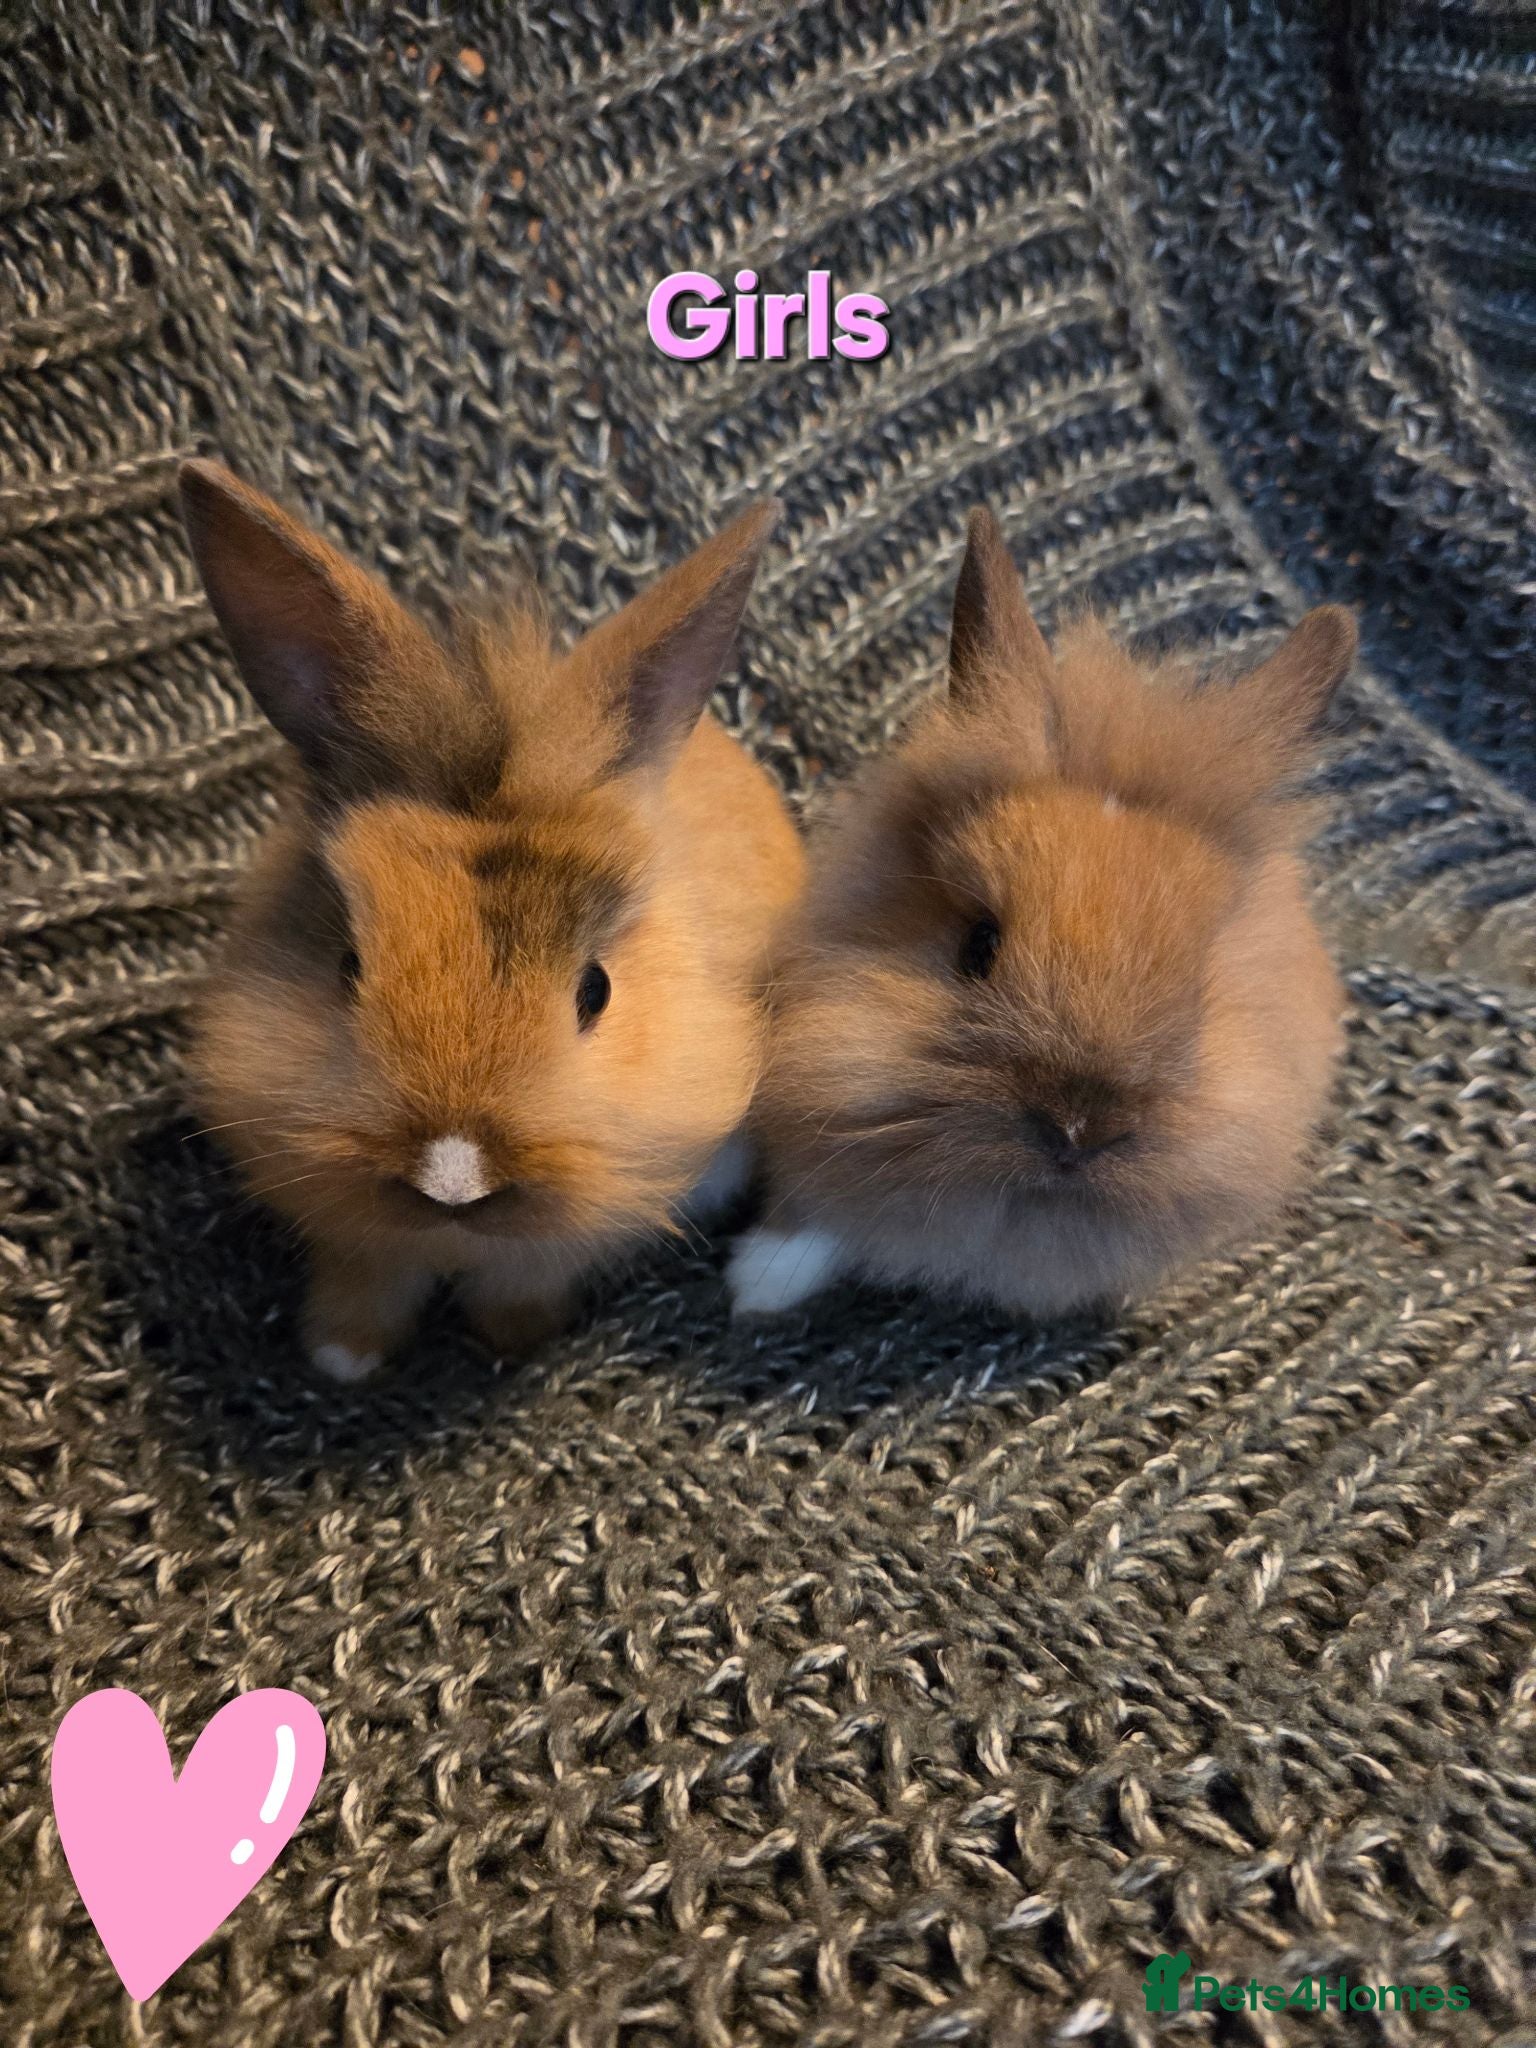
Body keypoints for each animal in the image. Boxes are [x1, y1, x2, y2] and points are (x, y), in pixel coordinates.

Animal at [179, 460, 805, 1382]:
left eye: (596, 991)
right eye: (347, 967)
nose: (453, 1178)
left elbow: (521, 1280)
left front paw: (515, 1341)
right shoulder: (351, 1234)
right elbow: (366, 1278)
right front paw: (343, 1358)